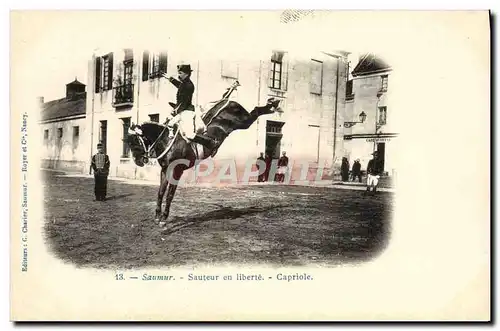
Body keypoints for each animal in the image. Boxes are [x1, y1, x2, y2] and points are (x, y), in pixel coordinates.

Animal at [126, 94, 282, 227]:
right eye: (129, 142)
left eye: (135, 141)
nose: (138, 161)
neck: (167, 141)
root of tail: (229, 101)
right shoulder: (165, 169)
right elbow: (160, 192)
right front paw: (157, 216)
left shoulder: (177, 170)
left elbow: (170, 194)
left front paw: (164, 218)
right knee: (254, 110)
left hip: (243, 121)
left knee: (255, 112)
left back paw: (272, 105)